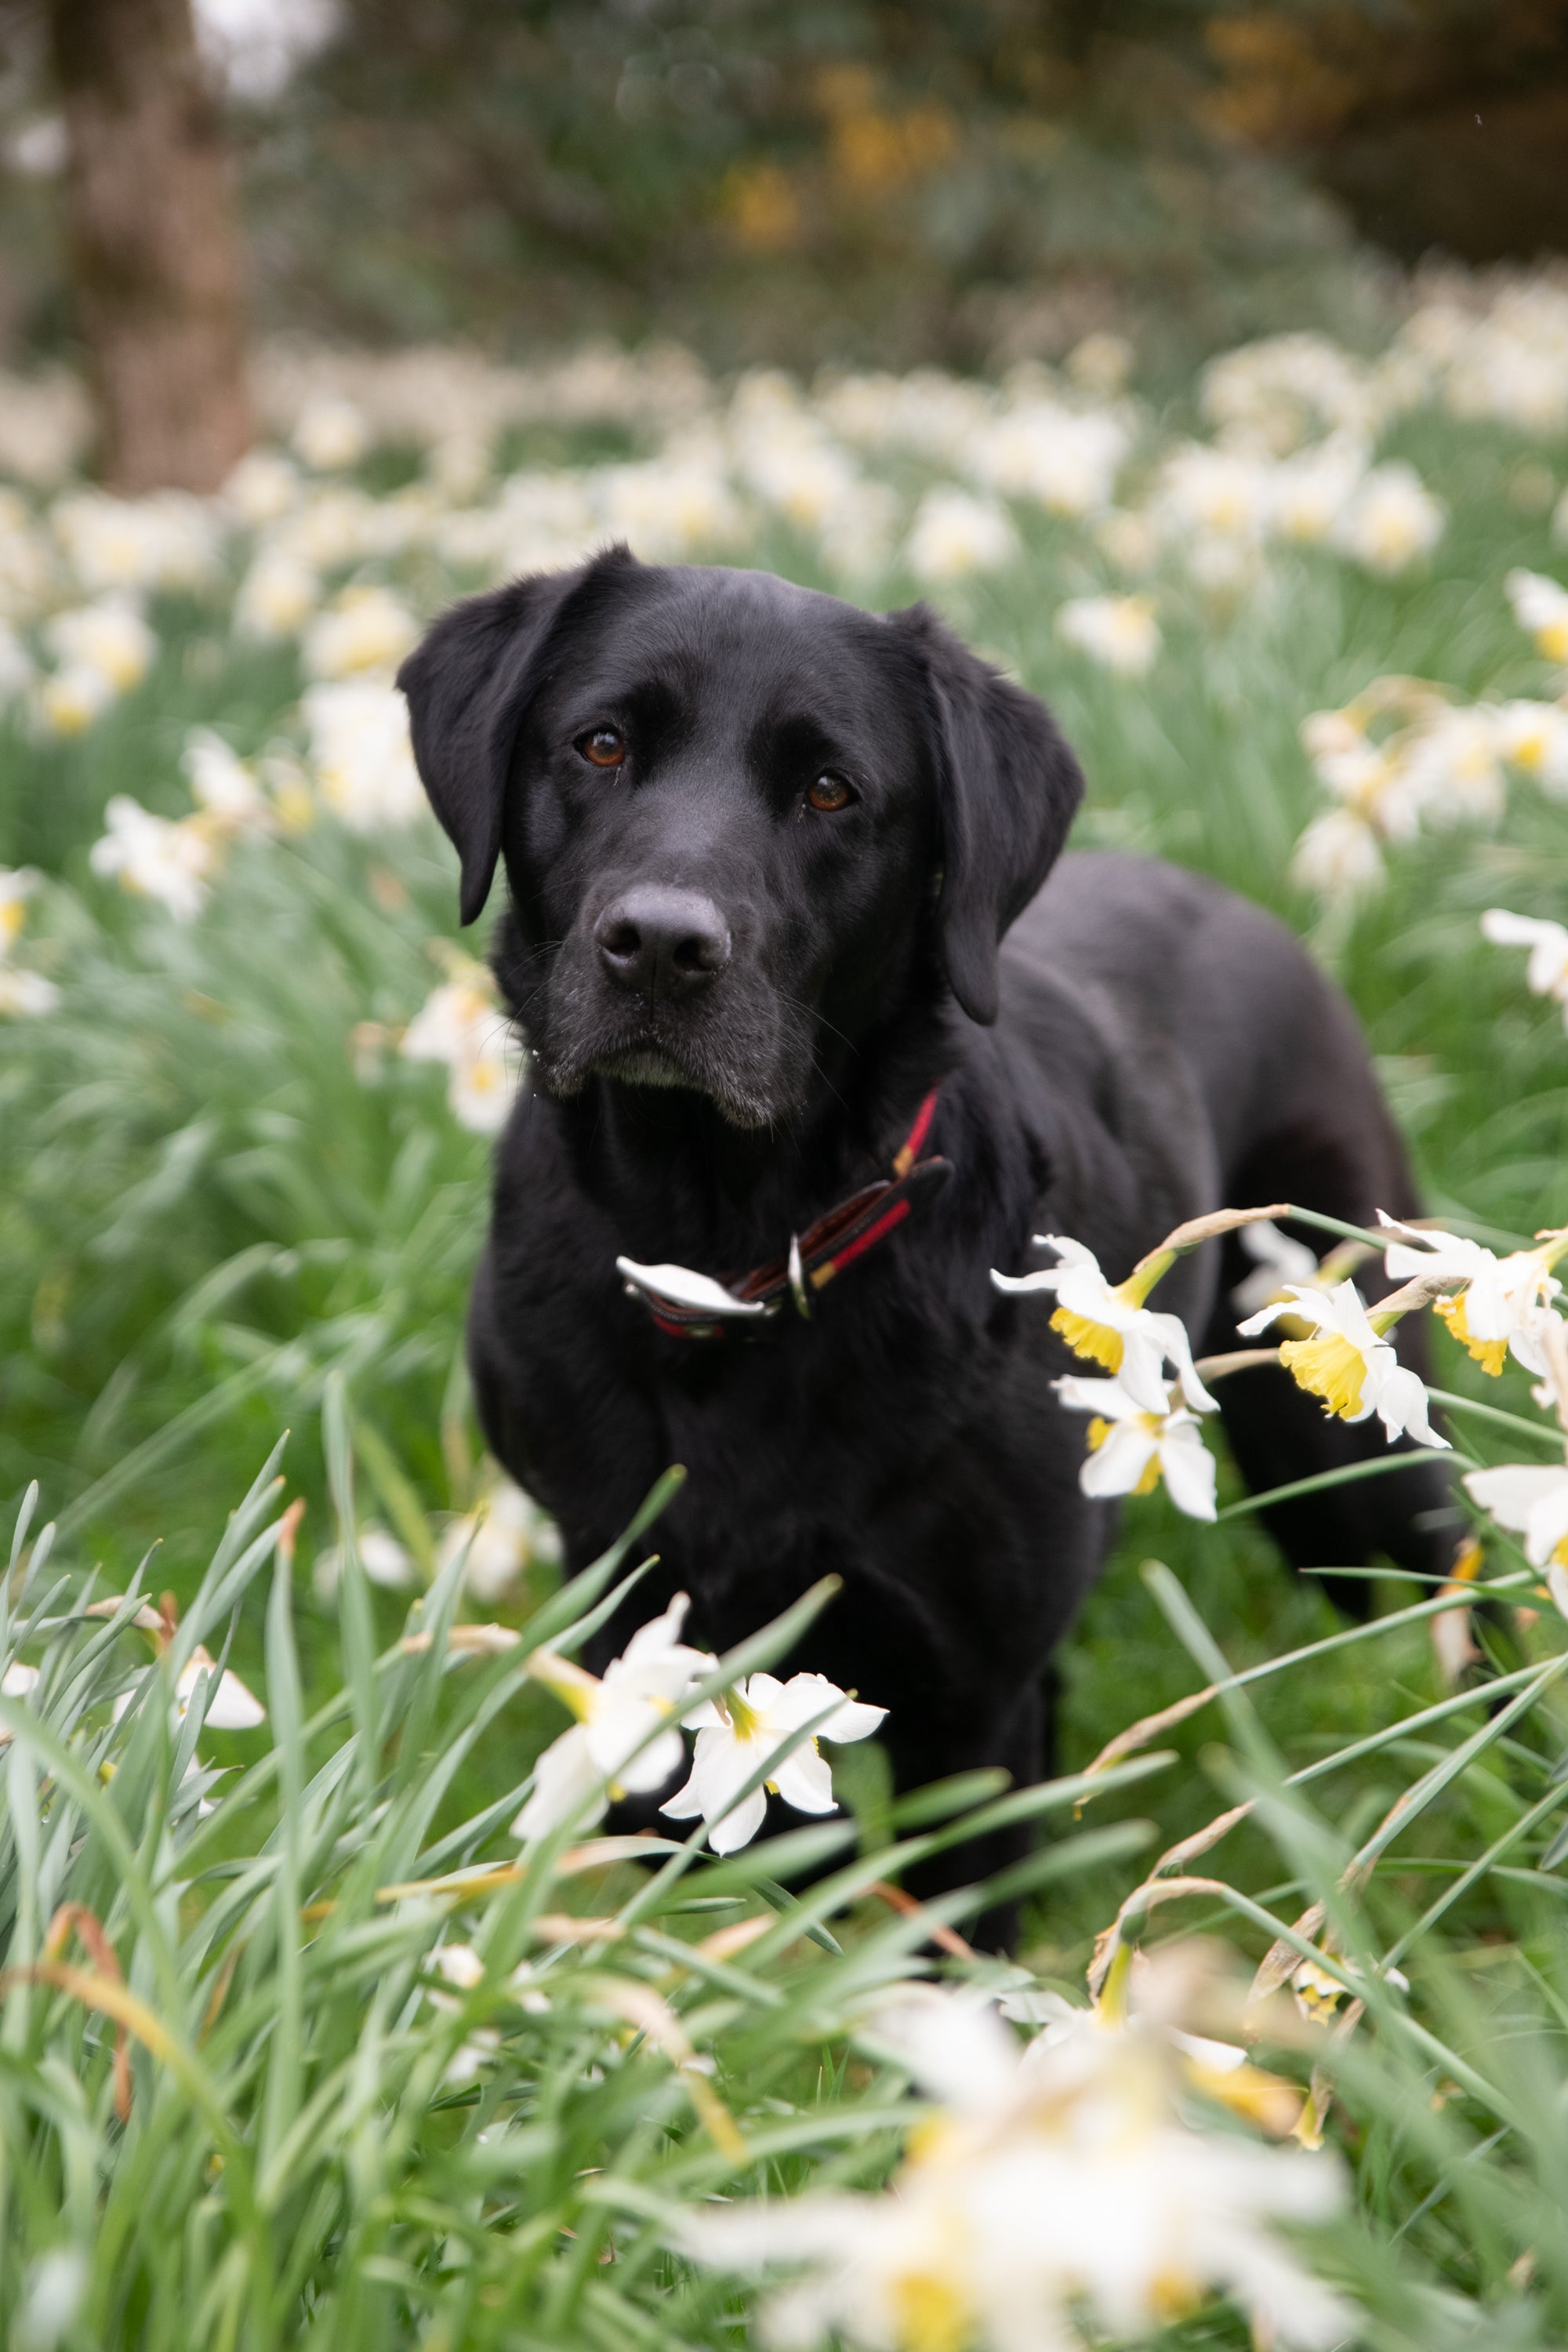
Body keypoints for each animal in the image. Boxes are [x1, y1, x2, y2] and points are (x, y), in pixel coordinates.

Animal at [399, 555, 1457, 1929]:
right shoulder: (635, 1643)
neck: (724, 1240)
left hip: (1347, 1438)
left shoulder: (964, 1698)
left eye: (831, 790)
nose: (662, 946)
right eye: (601, 744)